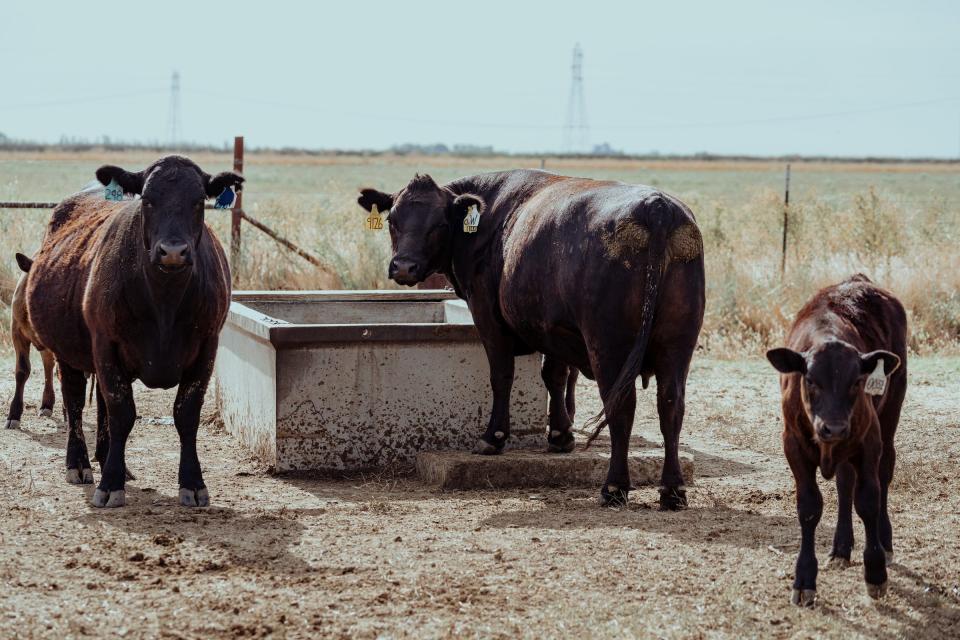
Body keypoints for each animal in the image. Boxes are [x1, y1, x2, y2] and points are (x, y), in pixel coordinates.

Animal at [26, 156, 240, 510]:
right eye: (148, 200)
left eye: (199, 202)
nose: (173, 252)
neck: (164, 302)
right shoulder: (106, 343)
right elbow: (122, 413)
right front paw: (110, 485)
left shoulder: (207, 346)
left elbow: (186, 414)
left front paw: (193, 484)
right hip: (68, 352)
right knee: (74, 402)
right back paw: (80, 464)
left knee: (100, 404)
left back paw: (110, 460)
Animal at [360, 171, 704, 510]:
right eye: (393, 220)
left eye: (440, 224)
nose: (404, 267)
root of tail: (656, 207)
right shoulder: (554, 328)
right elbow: (554, 375)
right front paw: (561, 435)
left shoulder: (488, 317)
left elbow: (502, 376)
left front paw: (494, 437)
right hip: (677, 345)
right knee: (671, 405)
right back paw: (672, 490)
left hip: (608, 345)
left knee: (621, 406)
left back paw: (614, 487)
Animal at [764, 276, 908, 604]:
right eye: (810, 380)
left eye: (856, 382)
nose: (835, 428)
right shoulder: (793, 445)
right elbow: (809, 507)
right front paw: (804, 579)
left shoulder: (869, 441)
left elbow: (868, 500)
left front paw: (876, 573)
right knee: (844, 483)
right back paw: (841, 547)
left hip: (891, 409)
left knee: (884, 474)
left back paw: (885, 542)